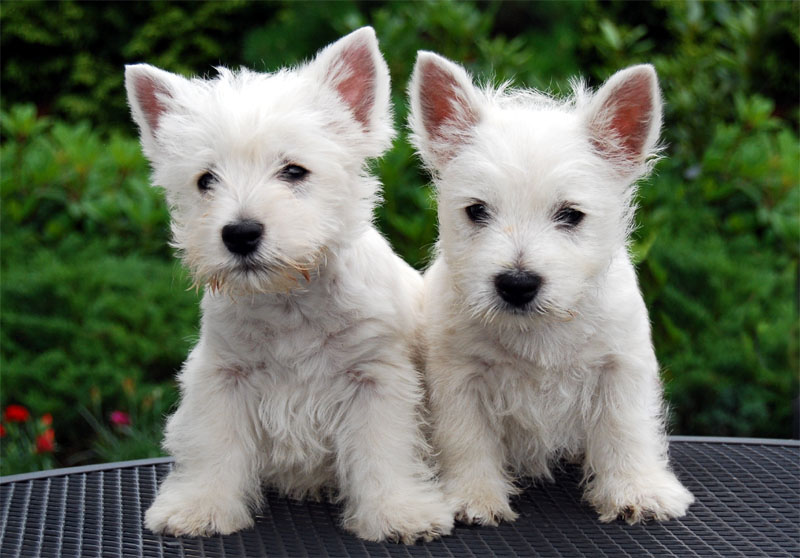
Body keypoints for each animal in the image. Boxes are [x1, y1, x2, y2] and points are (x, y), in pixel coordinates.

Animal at [122, 28, 454, 544]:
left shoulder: (376, 378)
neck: (289, 300)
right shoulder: (223, 376)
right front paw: (199, 508)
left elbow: (384, 449)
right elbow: (213, 444)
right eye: (206, 179)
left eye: (294, 171)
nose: (240, 234)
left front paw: (399, 512)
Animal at [406, 51, 692, 524]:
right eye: (476, 210)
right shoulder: (459, 375)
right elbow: (466, 437)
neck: (539, 331)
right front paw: (473, 496)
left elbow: (626, 428)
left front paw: (637, 490)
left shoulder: (621, 366)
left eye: (570, 215)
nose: (517, 283)